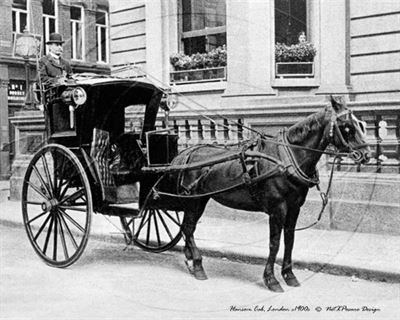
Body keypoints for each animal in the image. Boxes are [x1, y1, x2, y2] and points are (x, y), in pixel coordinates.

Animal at [156, 95, 372, 292]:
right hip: (194, 200)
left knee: (187, 227)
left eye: (360, 124)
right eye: (346, 127)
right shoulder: (277, 209)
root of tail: (187, 153)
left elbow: (289, 240)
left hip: (199, 199)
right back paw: (198, 265)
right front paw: (271, 279)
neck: (287, 158)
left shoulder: (294, 208)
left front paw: (289, 275)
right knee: (188, 228)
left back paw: (191, 260)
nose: (367, 154)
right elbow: (274, 244)